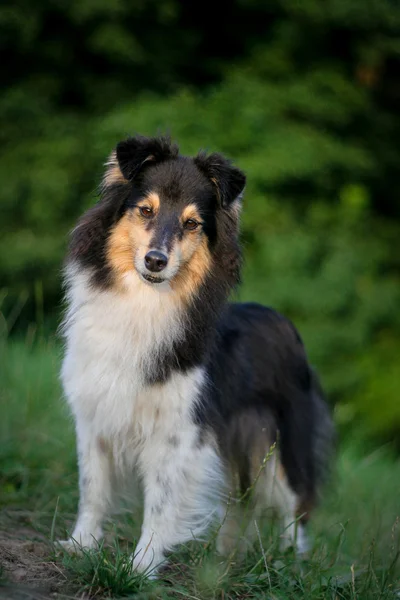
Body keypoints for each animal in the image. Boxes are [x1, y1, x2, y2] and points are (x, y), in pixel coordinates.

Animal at [58, 135, 334, 576]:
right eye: (146, 210)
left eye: (191, 224)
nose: (156, 261)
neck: (146, 303)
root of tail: (284, 322)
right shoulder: (95, 412)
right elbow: (93, 488)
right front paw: (80, 545)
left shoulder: (179, 431)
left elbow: (161, 501)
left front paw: (141, 566)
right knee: (238, 503)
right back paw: (224, 559)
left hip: (280, 439)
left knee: (296, 503)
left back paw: (291, 563)